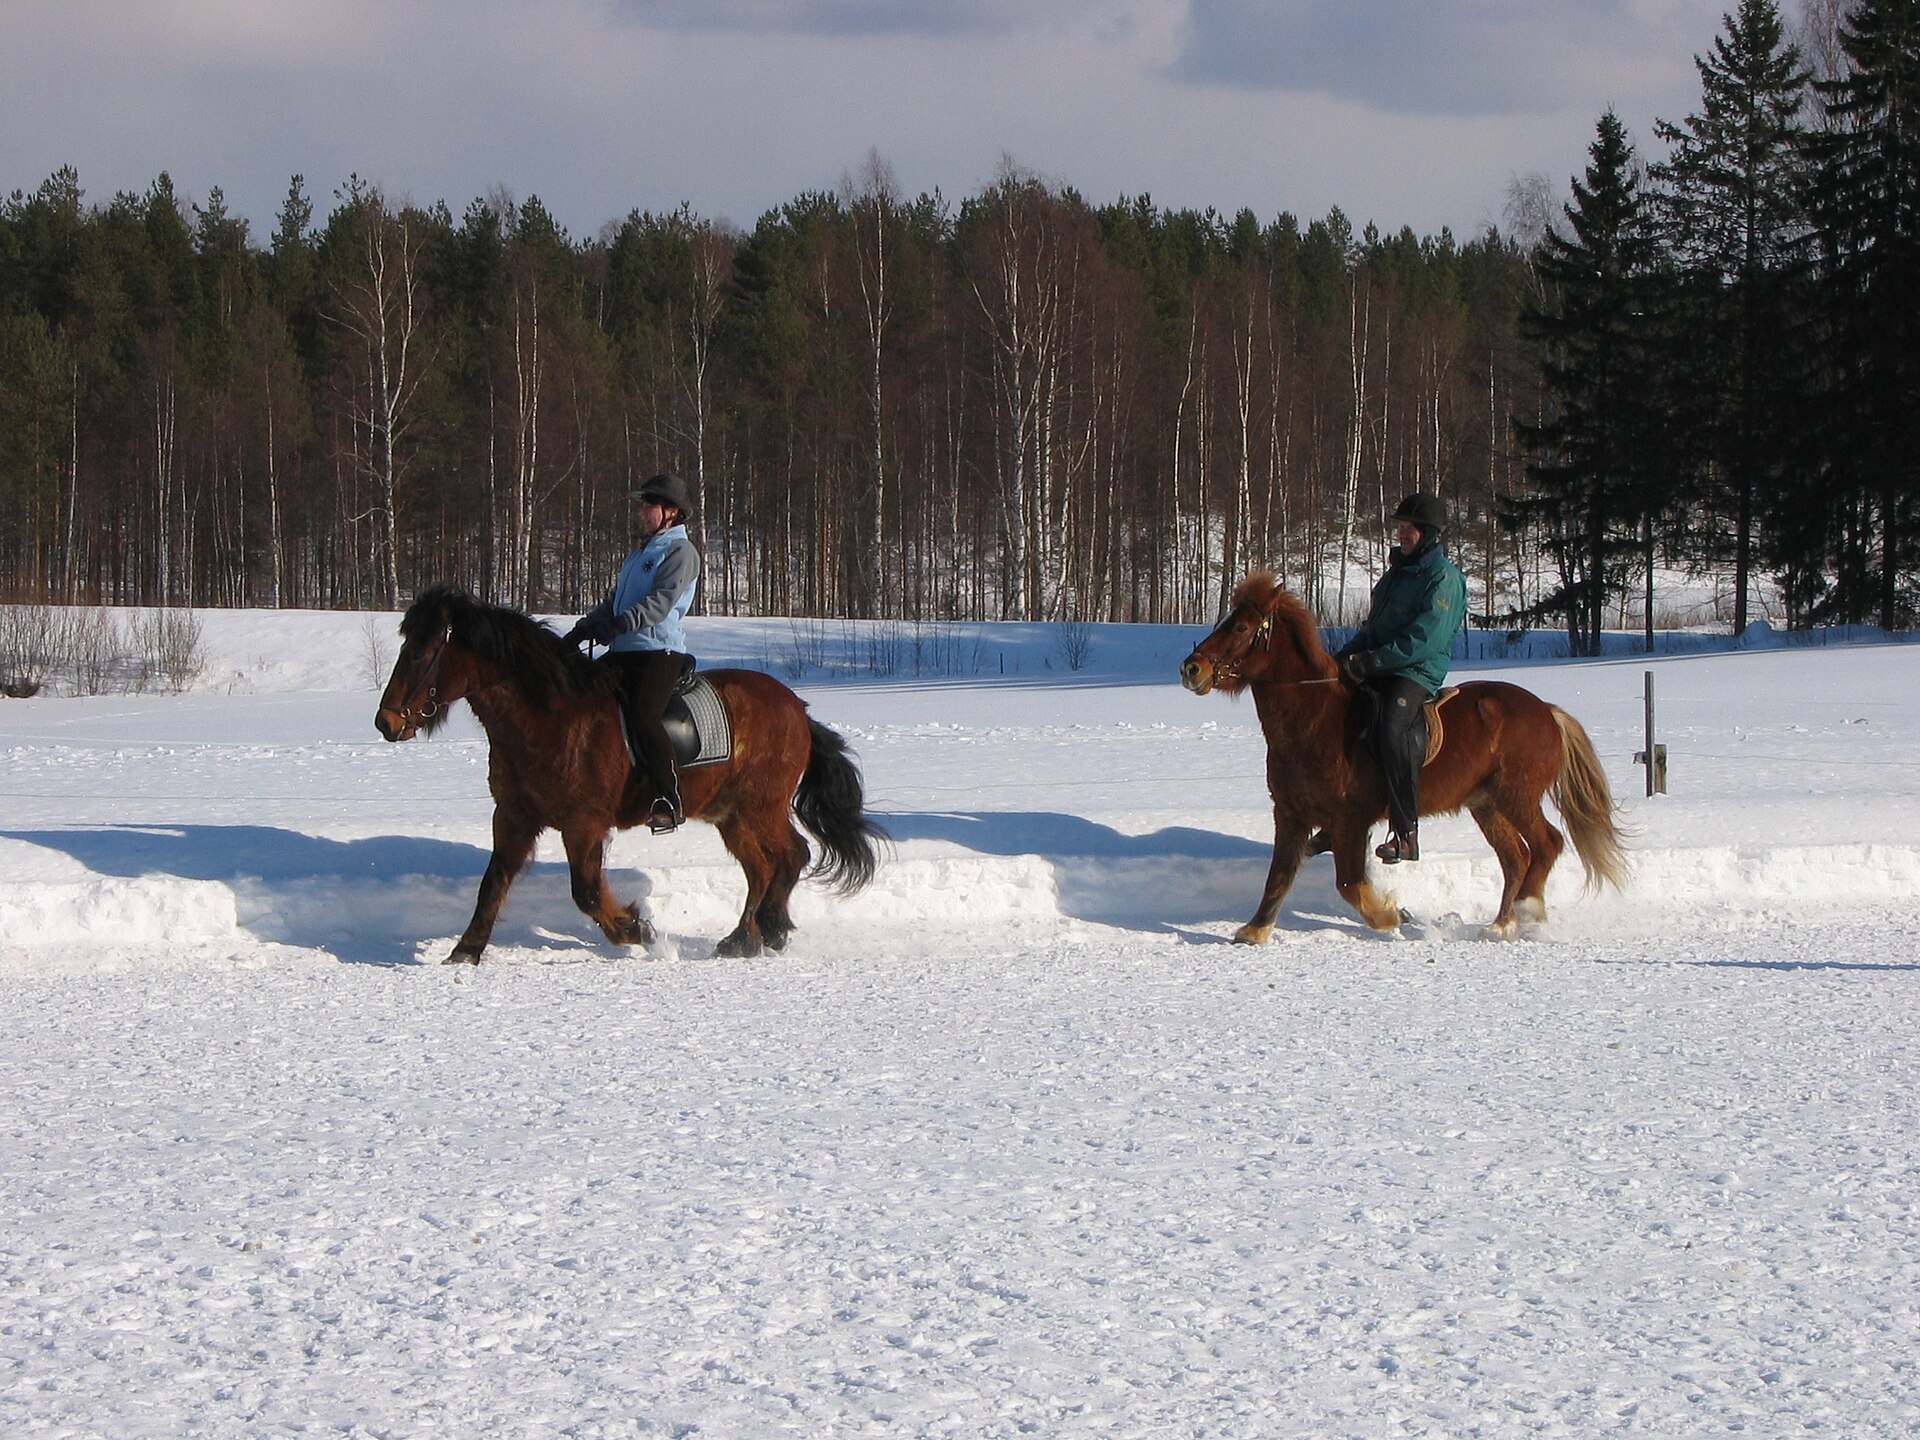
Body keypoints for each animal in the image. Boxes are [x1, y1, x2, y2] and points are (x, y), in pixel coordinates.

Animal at [374, 584, 886, 963]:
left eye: (421, 652)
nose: (386, 722)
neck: (549, 717)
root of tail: (796, 708)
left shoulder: (583, 823)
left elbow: (585, 892)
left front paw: (635, 929)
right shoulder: (514, 816)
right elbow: (493, 882)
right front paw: (466, 951)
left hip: (760, 806)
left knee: (793, 854)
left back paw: (773, 928)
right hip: (731, 815)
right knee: (762, 868)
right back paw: (742, 938)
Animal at [1179, 572, 1627, 941]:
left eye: (1241, 626)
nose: (1191, 668)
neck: (1314, 719)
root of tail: (1546, 711)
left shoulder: (1351, 819)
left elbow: (1349, 885)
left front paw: (1393, 916)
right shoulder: (1291, 815)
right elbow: (1279, 876)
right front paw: (1254, 930)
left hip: (1516, 796)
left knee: (1547, 844)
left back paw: (1528, 909)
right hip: (1486, 804)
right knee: (1516, 857)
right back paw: (1501, 925)